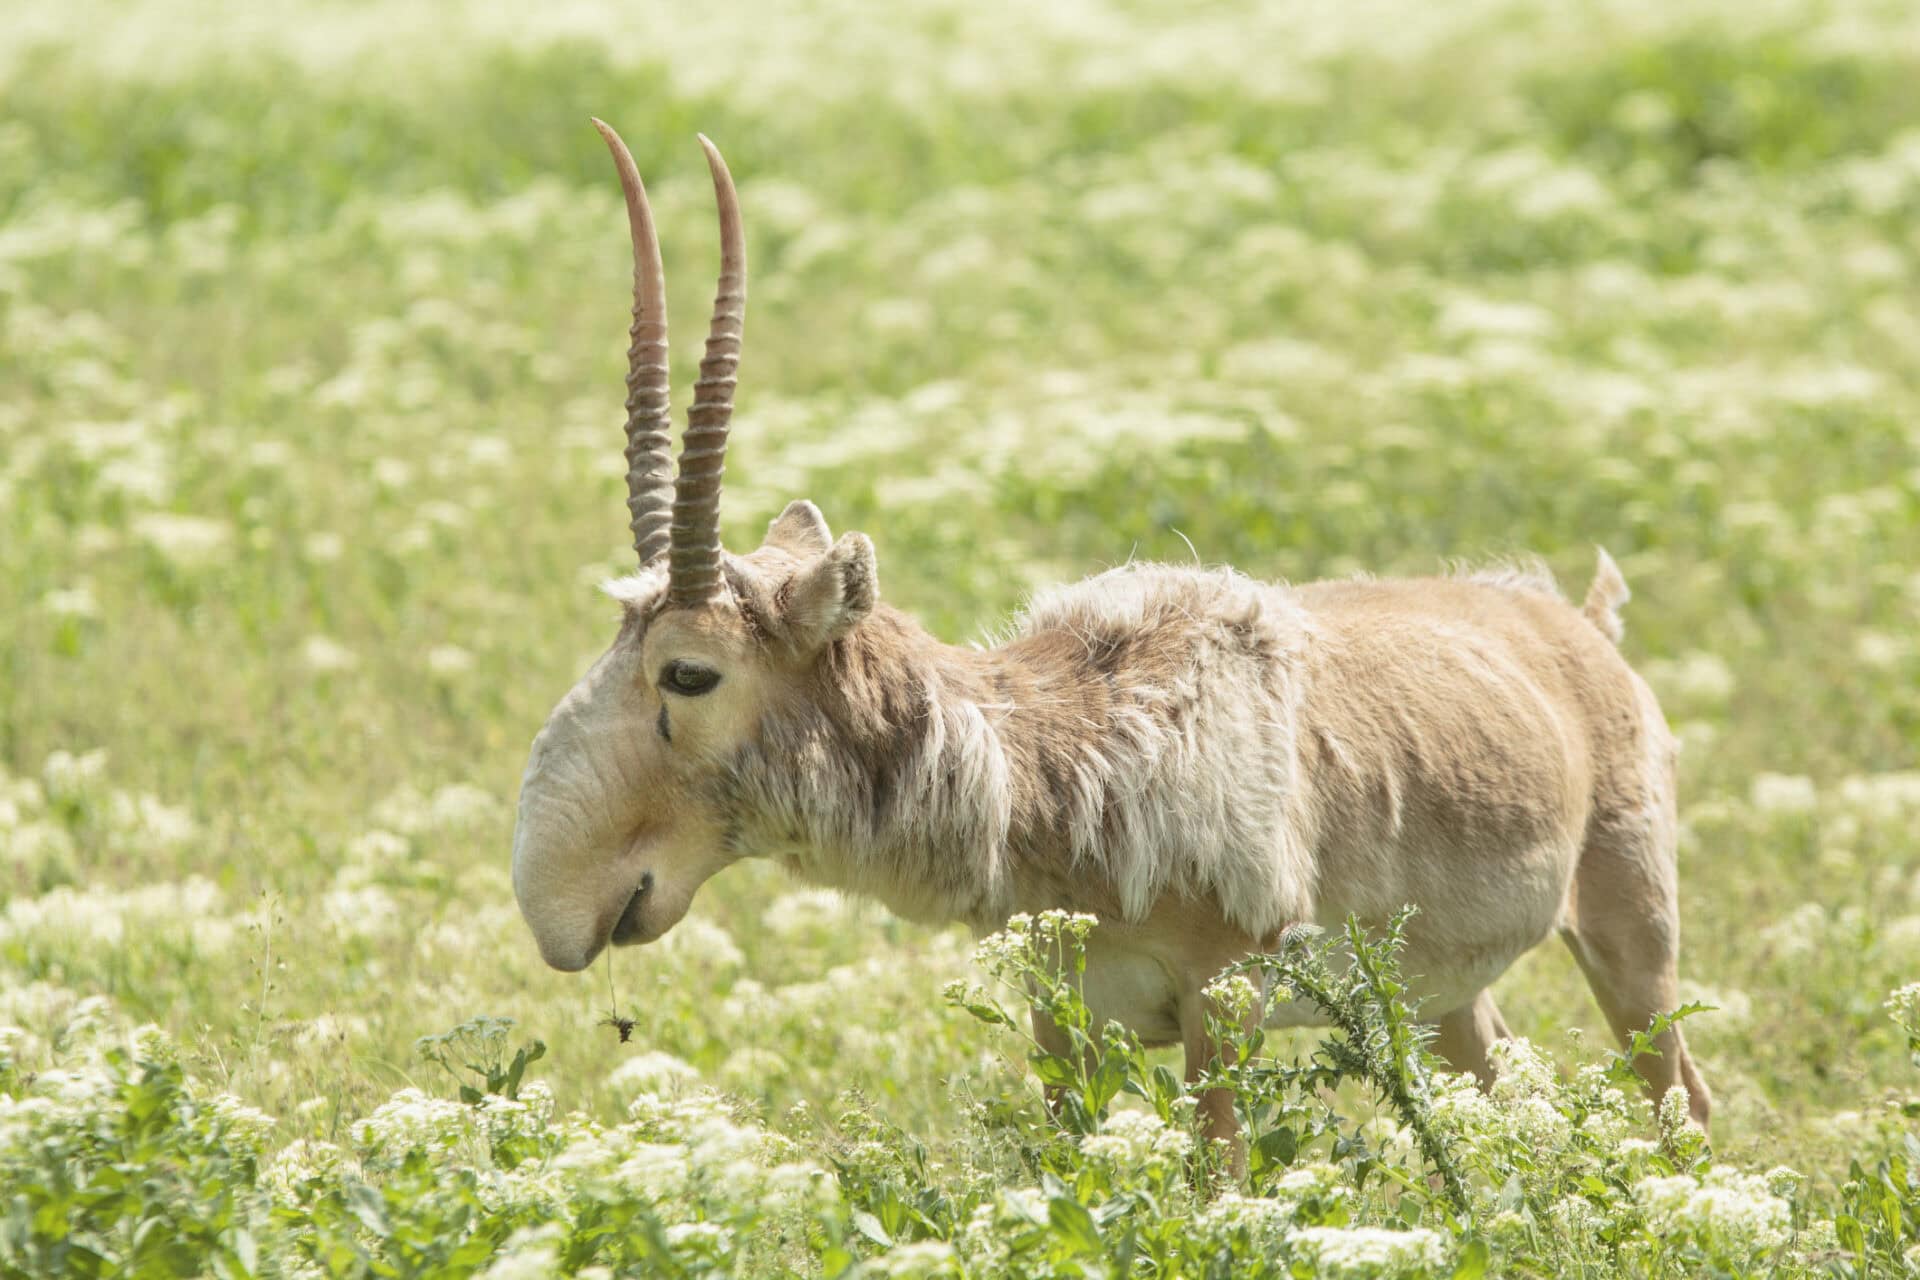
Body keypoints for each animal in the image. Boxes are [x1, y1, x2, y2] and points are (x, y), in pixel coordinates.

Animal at [510, 121, 1711, 1157]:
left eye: (687, 670)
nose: (556, 907)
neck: (1065, 745)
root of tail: (1572, 624)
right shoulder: (1065, 1016)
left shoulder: (1221, 1007)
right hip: (1448, 994)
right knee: (1497, 1080)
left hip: (1631, 935)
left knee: (1681, 1097)